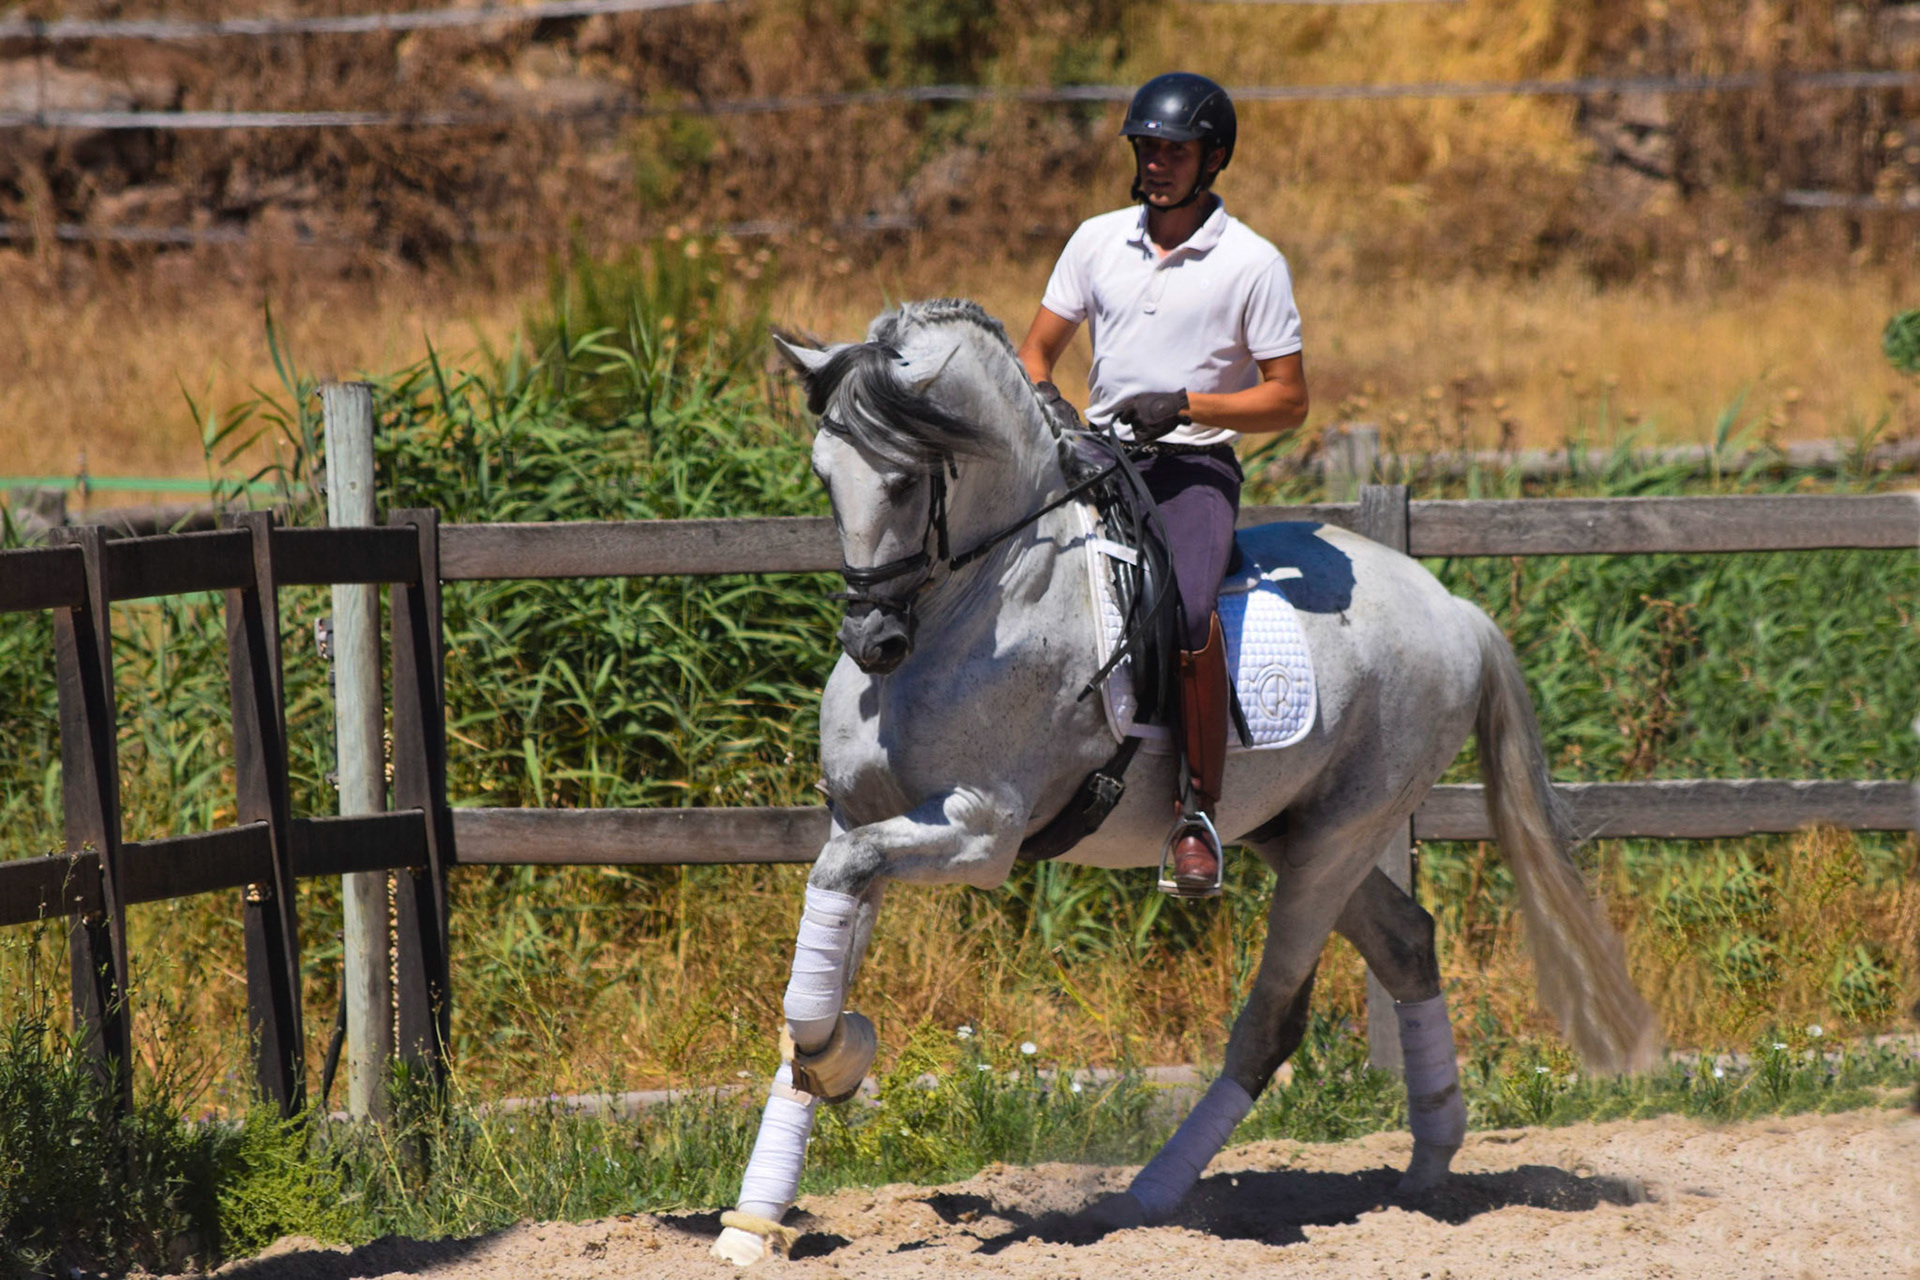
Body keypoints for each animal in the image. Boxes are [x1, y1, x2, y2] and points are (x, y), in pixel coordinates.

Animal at [714, 301, 1658, 1274]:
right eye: (824, 476)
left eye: (904, 483)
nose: (872, 641)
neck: (974, 607)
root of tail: (1455, 608)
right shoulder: (856, 821)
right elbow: (815, 965)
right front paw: (758, 1209)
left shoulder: (979, 832)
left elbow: (830, 945)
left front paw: (844, 1057)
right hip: (1297, 831)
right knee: (1405, 944)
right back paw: (1428, 1169)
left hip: (1341, 835)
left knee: (1274, 1020)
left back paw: (1147, 1197)